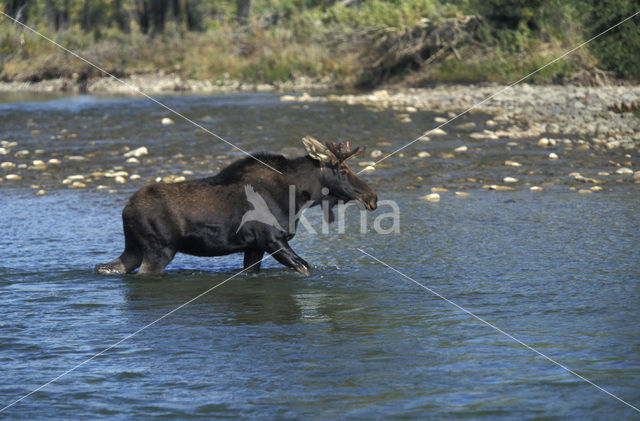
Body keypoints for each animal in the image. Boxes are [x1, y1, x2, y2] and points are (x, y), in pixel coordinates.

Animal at [94, 136, 376, 276]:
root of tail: (126, 210)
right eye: (342, 170)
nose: (372, 196)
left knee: (106, 267)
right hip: (158, 250)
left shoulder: (254, 246)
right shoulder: (273, 240)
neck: (298, 197)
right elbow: (305, 267)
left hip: (133, 248)